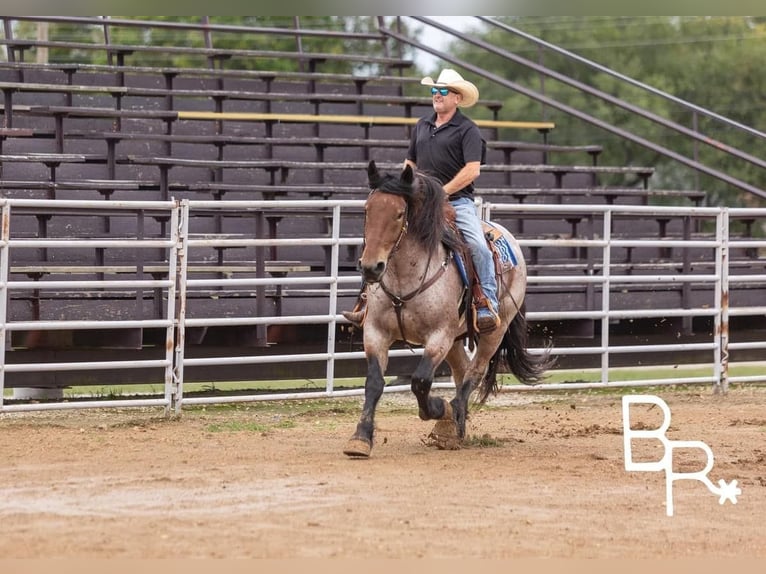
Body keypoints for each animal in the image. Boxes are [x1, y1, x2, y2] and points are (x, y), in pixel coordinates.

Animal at [343, 160, 554, 457]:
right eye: (367, 210)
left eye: (399, 214)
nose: (371, 267)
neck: (405, 277)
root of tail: (510, 239)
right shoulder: (375, 332)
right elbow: (374, 382)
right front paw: (360, 439)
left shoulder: (439, 336)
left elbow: (420, 381)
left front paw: (437, 409)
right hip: (456, 339)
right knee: (462, 370)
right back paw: (456, 428)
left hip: (493, 332)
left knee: (473, 373)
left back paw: (451, 419)